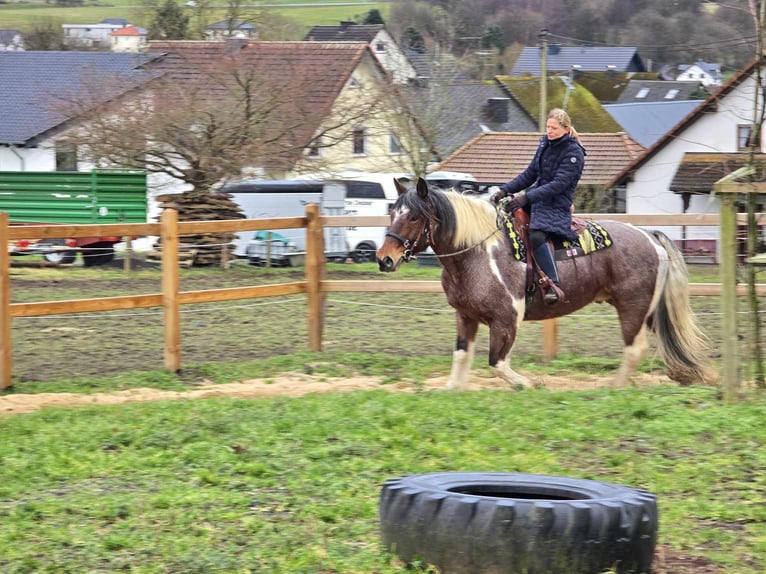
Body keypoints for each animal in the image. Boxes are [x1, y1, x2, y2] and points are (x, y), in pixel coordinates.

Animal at [378, 178, 720, 390]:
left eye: (413, 217)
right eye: (392, 212)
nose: (384, 259)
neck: (477, 252)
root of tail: (650, 236)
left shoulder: (506, 320)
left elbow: (497, 363)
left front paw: (531, 384)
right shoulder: (466, 316)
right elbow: (462, 356)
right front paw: (453, 388)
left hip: (632, 308)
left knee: (634, 348)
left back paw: (614, 386)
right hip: (647, 309)